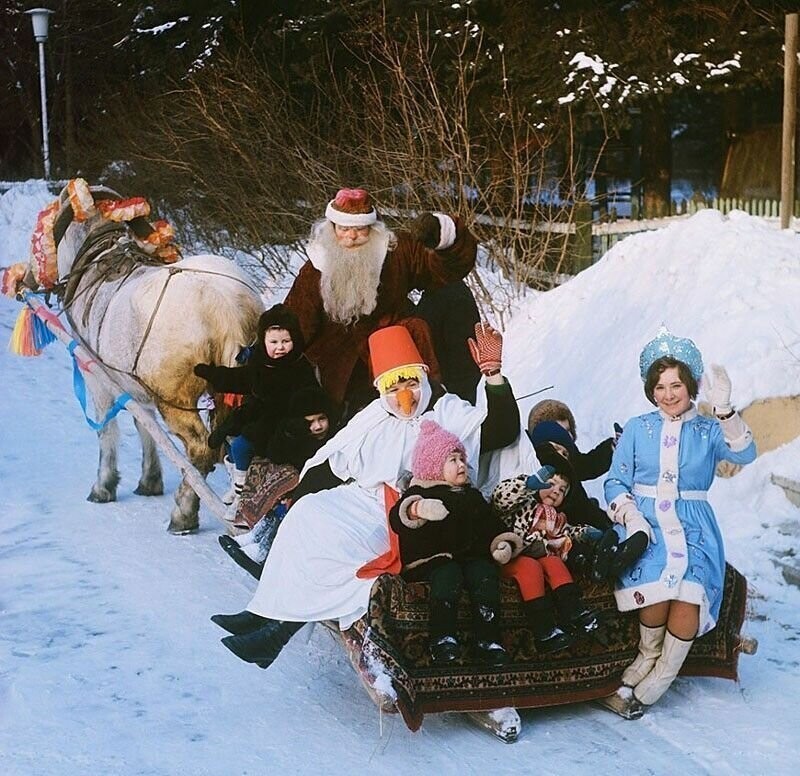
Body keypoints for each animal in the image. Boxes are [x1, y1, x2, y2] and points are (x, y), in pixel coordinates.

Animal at [49, 184, 262, 532]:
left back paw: (184, 512)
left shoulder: (97, 377)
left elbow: (107, 431)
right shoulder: (137, 387)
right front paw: (149, 481)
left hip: (175, 399)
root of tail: (224, 307)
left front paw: (103, 486)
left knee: (201, 449)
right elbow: (145, 426)